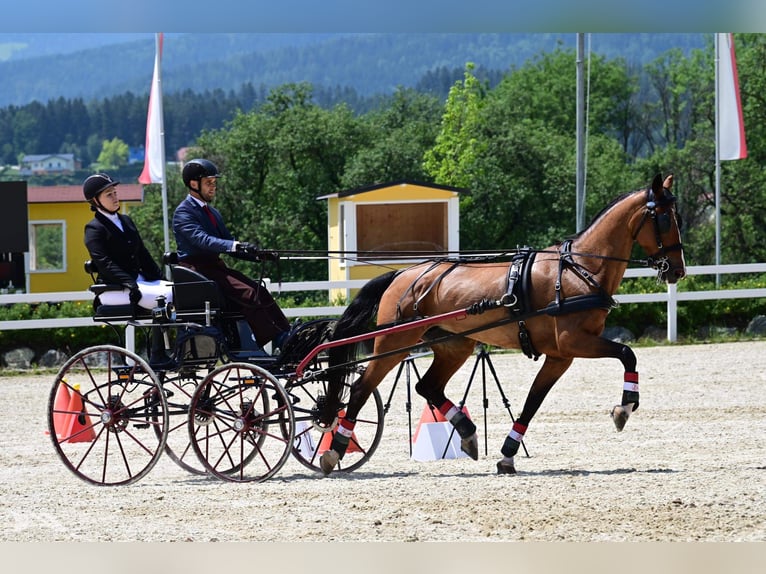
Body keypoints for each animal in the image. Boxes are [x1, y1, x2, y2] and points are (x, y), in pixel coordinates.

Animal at [320, 174, 688, 476]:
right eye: (665, 218)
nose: (678, 270)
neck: (579, 269)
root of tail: (403, 274)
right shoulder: (574, 342)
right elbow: (627, 353)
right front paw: (624, 408)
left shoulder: (560, 356)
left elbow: (532, 402)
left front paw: (508, 454)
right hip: (394, 343)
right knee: (361, 388)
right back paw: (334, 450)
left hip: (454, 345)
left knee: (428, 387)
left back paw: (467, 434)